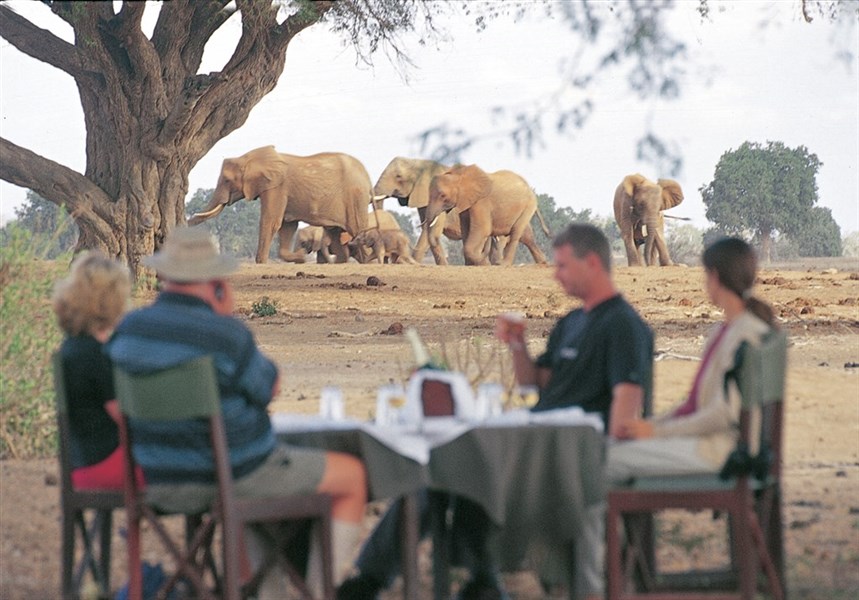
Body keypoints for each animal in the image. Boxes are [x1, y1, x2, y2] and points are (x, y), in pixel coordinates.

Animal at [190, 145, 372, 262]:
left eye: (227, 180)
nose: (188, 219)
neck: (248, 158)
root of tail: (366, 176)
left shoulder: (276, 188)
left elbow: (271, 222)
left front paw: (261, 263)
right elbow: (287, 226)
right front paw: (301, 257)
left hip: (355, 198)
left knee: (357, 231)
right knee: (336, 234)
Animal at [424, 165, 552, 266]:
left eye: (442, 195)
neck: (460, 175)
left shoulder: (481, 202)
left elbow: (483, 229)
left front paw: (481, 264)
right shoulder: (466, 203)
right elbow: (466, 230)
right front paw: (471, 265)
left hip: (528, 205)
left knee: (516, 232)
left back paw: (503, 264)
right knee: (526, 235)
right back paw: (542, 262)